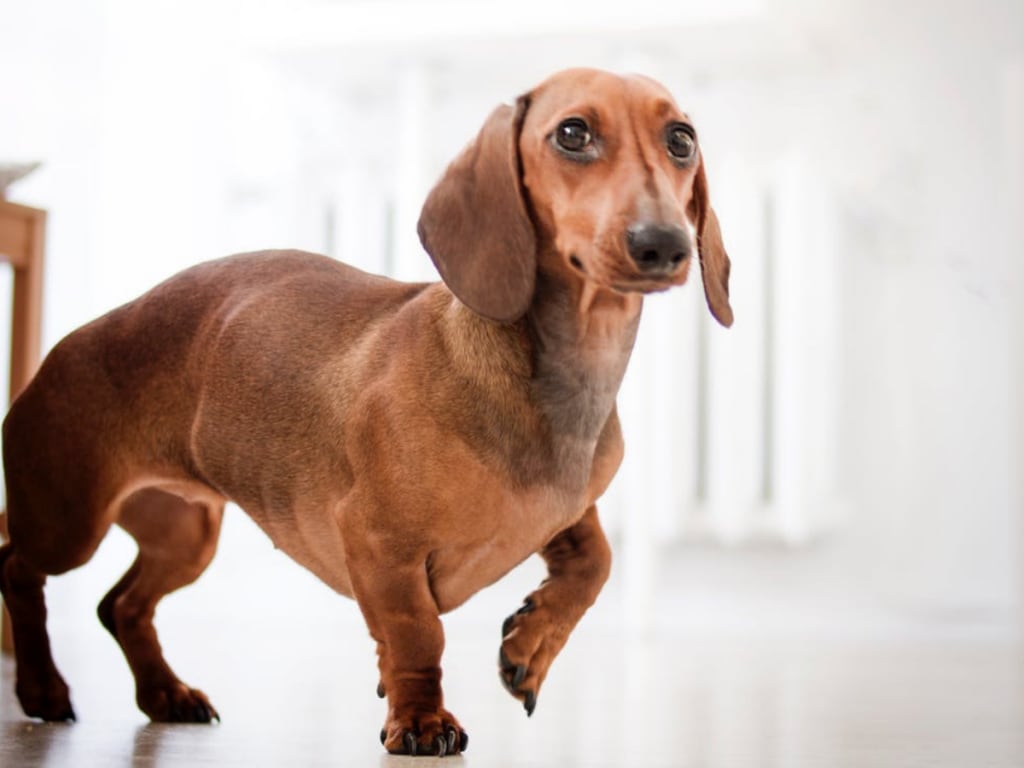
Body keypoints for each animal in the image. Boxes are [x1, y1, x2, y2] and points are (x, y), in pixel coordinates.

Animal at [0, 67, 737, 757]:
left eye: (681, 139)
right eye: (573, 133)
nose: (663, 244)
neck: (557, 379)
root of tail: (73, 341)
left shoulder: (564, 513)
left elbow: (596, 562)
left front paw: (528, 648)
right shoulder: (379, 542)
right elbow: (417, 633)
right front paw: (421, 718)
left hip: (186, 534)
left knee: (120, 605)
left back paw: (164, 693)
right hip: (69, 521)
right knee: (17, 566)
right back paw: (42, 688)